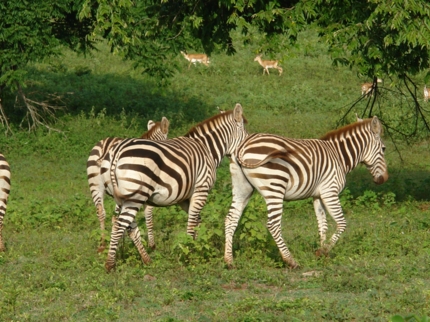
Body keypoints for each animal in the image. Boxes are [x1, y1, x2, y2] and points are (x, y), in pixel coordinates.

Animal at [86, 117, 170, 253]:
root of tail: (105, 147)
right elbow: (148, 214)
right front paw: (151, 245)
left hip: (96, 185)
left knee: (100, 211)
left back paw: (103, 245)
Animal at [104, 103, 249, 272]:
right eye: (246, 134)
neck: (207, 149)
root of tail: (117, 152)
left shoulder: (185, 198)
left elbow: (197, 222)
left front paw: (195, 247)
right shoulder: (201, 189)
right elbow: (192, 223)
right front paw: (189, 255)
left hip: (123, 197)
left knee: (125, 225)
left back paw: (146, 260)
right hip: (136, 196)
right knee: (120, 224)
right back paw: (110, 264)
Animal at [225, 117, 390, 268]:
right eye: (383, 149)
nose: (384, 179)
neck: (339, 156)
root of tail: (244, 145)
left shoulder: (318, 195)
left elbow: (323, 225)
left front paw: (322, 253)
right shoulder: (330, 191)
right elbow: (341, 223)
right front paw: (324, 251)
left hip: (242, 189)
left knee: (230, 219)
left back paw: (229, 261)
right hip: (275, 187)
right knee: (273, 225)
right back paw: (291, 261)